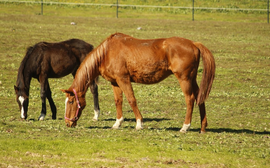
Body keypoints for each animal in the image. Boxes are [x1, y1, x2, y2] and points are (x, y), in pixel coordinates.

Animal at [61, 32, 215, 133]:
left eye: (71, 102)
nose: (67, 123)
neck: (107, 53)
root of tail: (194, 44)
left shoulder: (123, 79)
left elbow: (131, 99)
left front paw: (139, 124)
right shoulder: (115, 82)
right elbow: (118, 101)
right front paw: (117, 123)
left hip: (184, 79)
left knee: (190, 99)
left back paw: (185, 126)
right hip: (192, 79)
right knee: (200, 98)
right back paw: (202, 127)